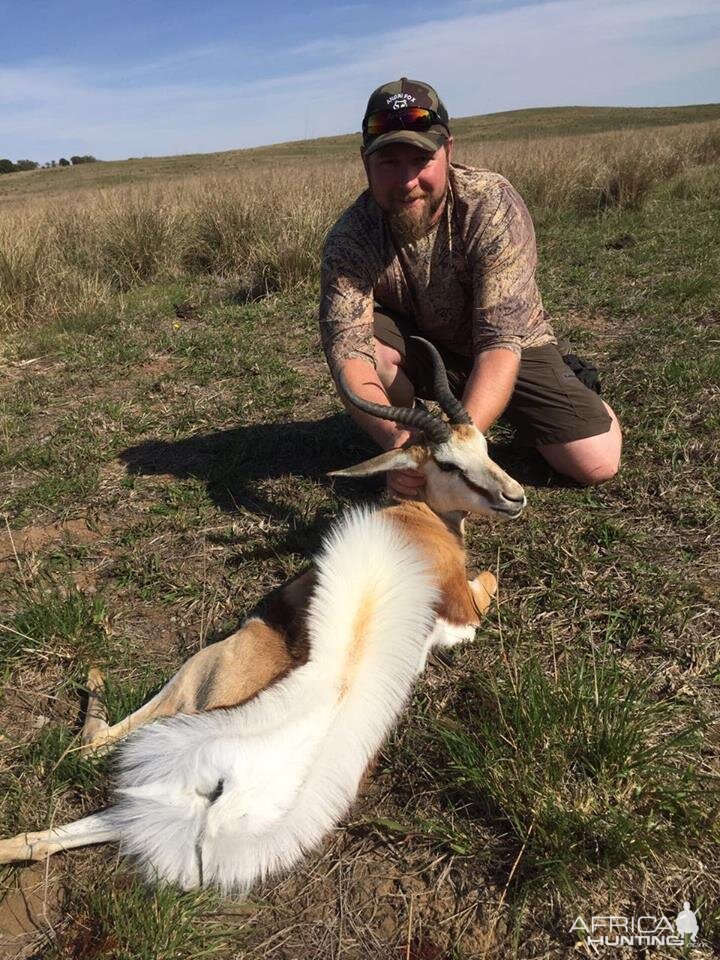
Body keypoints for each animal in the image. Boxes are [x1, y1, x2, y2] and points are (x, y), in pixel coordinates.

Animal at [0, 338, 524, 892]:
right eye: (447, 464)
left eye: (484, 445)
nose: (515, 497)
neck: (415, 523)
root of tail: (220, 793)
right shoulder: (465, 609)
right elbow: (491, 580)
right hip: (189, 678)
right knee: (90, 748)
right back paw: (95, 675)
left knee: (65, 810)